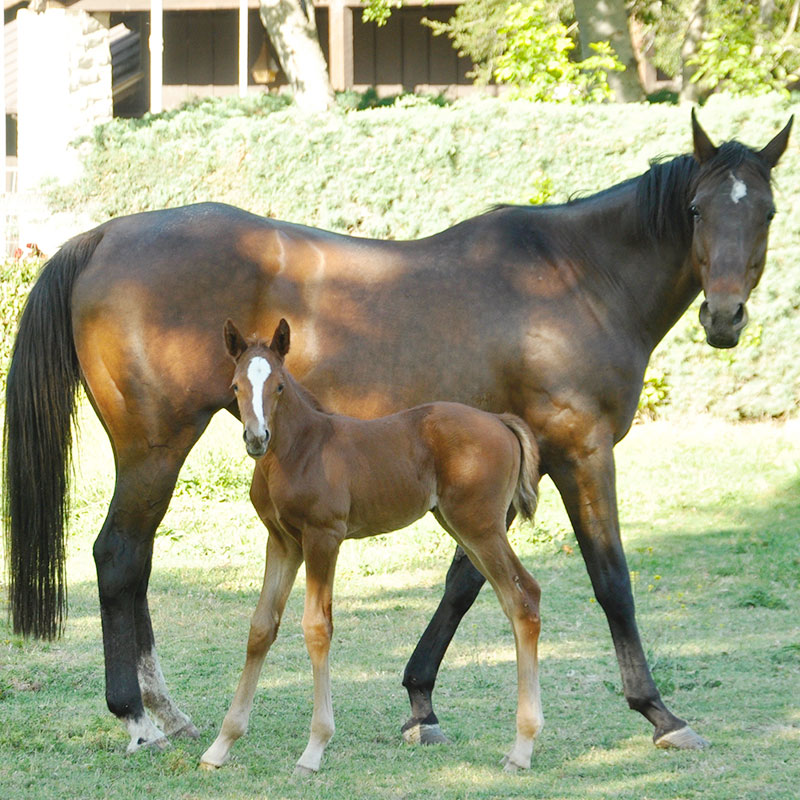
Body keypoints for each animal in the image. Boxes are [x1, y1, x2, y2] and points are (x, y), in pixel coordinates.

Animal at [200, 318, 544, 776]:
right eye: (236, 386)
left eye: (279, 386)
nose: (257, 438)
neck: (299, 450)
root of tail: (500, 420)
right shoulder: (283, 541)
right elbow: (261, 627)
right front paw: (221, 745)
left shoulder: (323, 536)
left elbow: (317, 627)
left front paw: (314, 749)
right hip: (463, 526)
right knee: (518, 596)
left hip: (480, 527)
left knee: (522, 598)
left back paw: (522, 749)